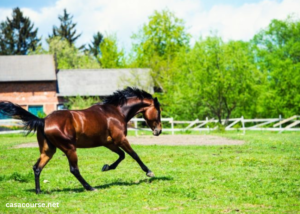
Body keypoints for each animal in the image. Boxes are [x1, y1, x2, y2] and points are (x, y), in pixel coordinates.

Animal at [0, 87, 162, 194]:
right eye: (159, 111)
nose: (158, 131)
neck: (116, 112)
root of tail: (43, 120)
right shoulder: (120, 139)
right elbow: (134, 154)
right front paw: (149, 172)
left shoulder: (109, 142)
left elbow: (121, 156)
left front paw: (106, 167)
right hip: (70, 149)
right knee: (74, 169)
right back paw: (90, 187)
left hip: (48, 151)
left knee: (37, 168)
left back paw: (39, 191)